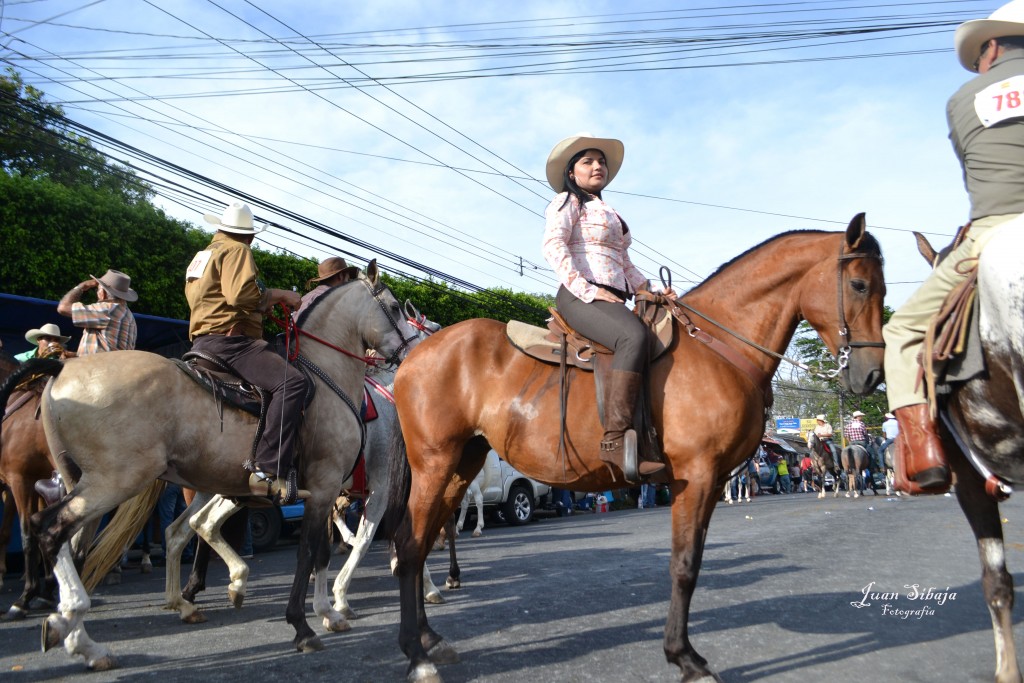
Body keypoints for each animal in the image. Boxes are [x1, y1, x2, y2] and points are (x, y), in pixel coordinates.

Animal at [380, 218, 884, 683]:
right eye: (859, 285)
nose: (872, 375)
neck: (718, 347)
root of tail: (416, 355)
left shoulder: (712, 481)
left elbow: (692, 562)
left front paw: (685, 654)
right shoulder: (696, 476)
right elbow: (684, 566)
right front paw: (685, 658)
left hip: (461, 462)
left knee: (422, 543)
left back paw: (429, 640)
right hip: (435, 462)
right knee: (410, 545)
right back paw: (416, 655)